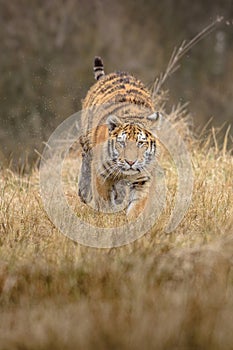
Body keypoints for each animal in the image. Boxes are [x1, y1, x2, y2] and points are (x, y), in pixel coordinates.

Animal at [77, 56, 161, 219]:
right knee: (86, 159)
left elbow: (137, 206)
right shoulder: (101, 174)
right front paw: (107, 217)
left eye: (141, 143)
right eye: (121, 143)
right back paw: (84, 192)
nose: (130, 162)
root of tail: (115, 73)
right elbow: (104, 201)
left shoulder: (143, 178)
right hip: (86, 137)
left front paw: (133, 221)